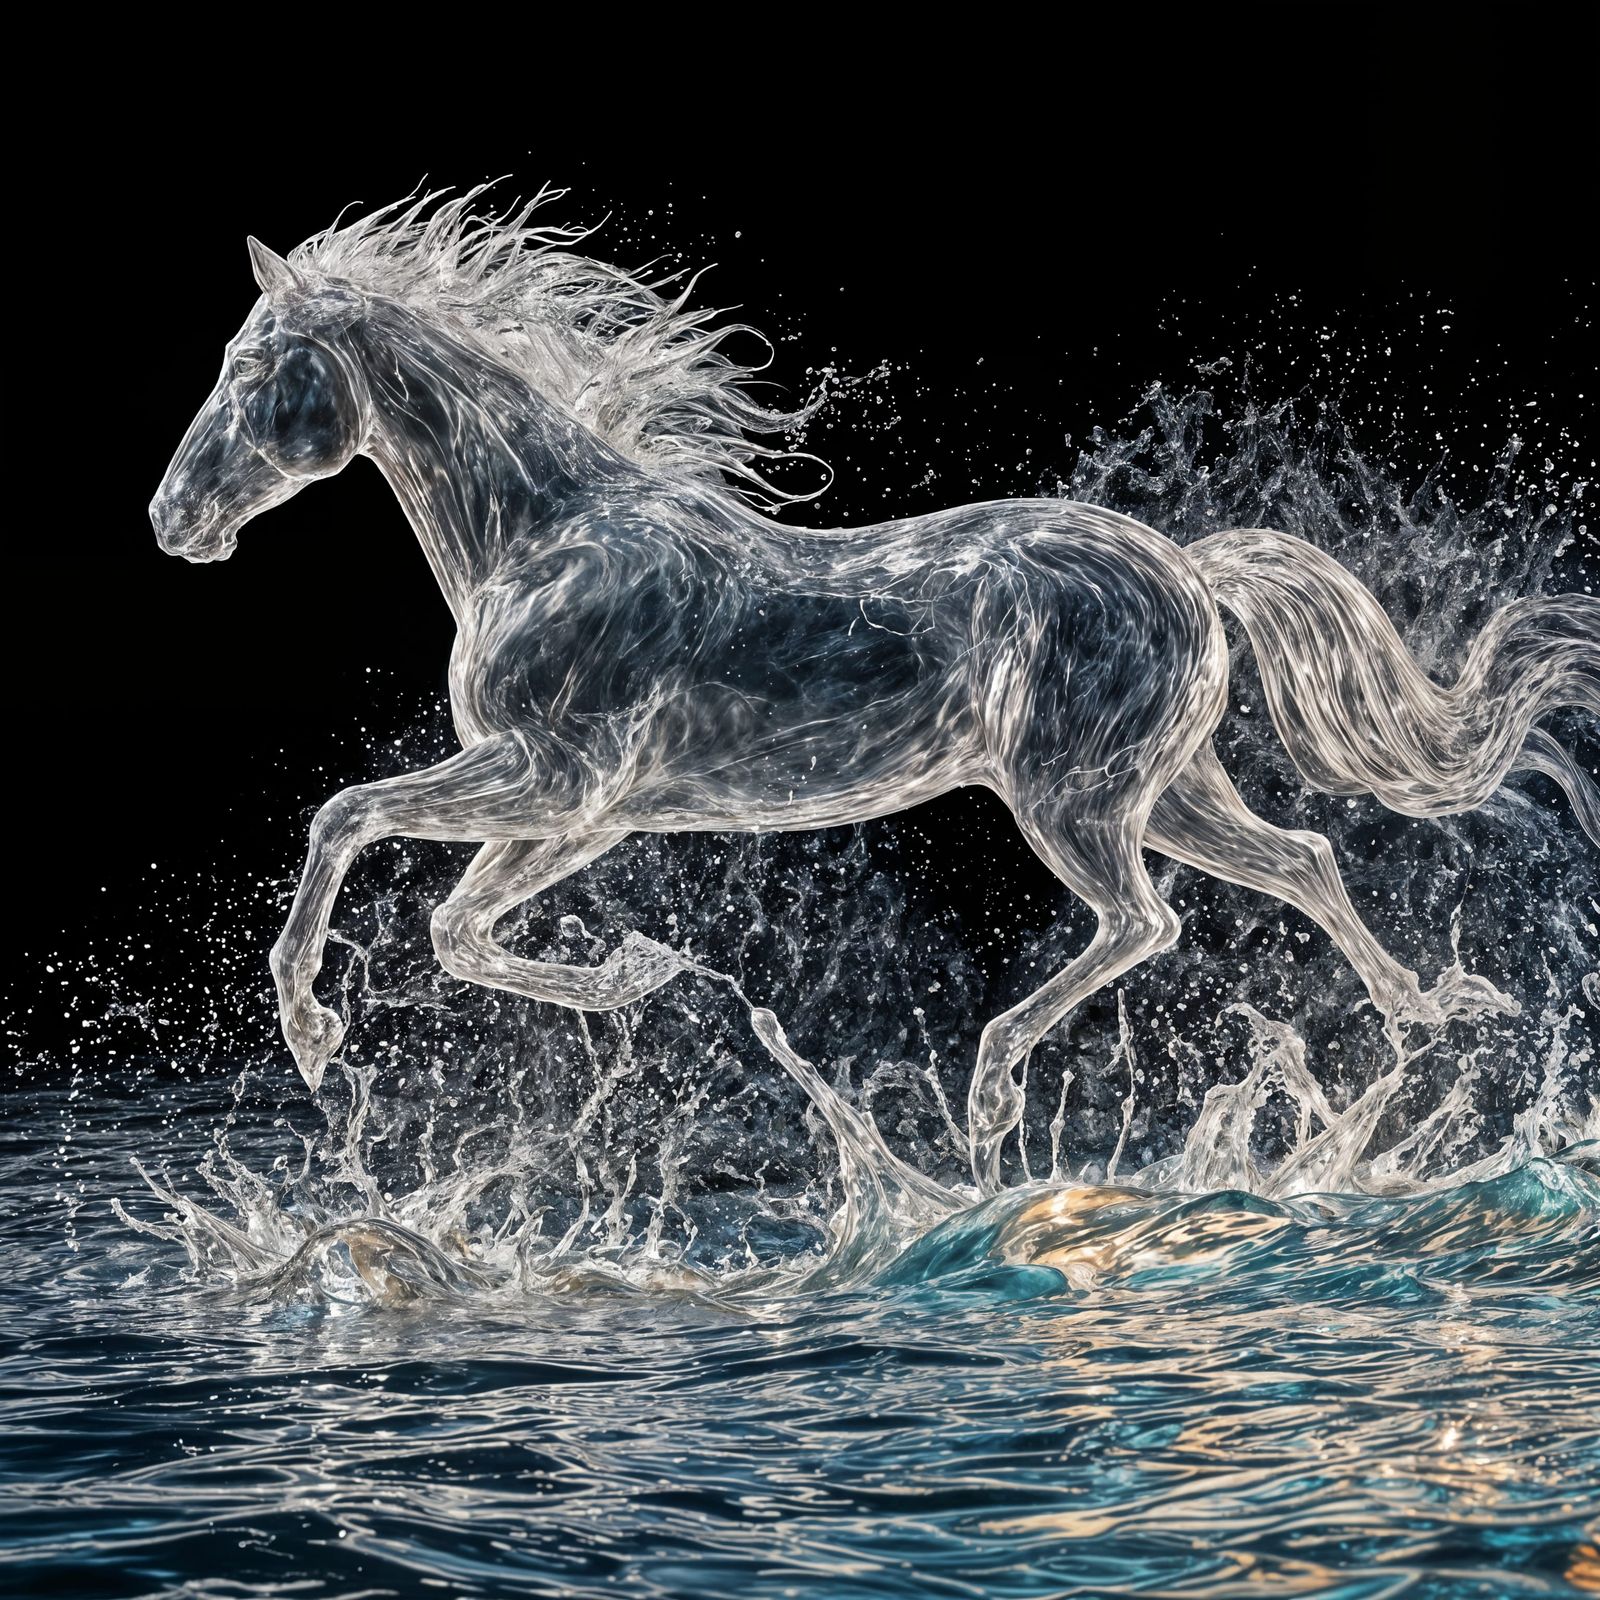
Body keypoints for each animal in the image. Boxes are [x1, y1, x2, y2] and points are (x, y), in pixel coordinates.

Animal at [150, 187, 1598, 1193]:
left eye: (251, 366)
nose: (171, 522)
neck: (550, 536)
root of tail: (1187, 567)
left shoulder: (559, 786)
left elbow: (348, 819)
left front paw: (314, 1028)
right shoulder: (583, 814)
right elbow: (448, 918)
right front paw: (632, 975)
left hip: (1074, 800)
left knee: (1147, 922)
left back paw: (992, 1097)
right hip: (1167, 788)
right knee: (1299, 857)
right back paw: (1432, 1016)